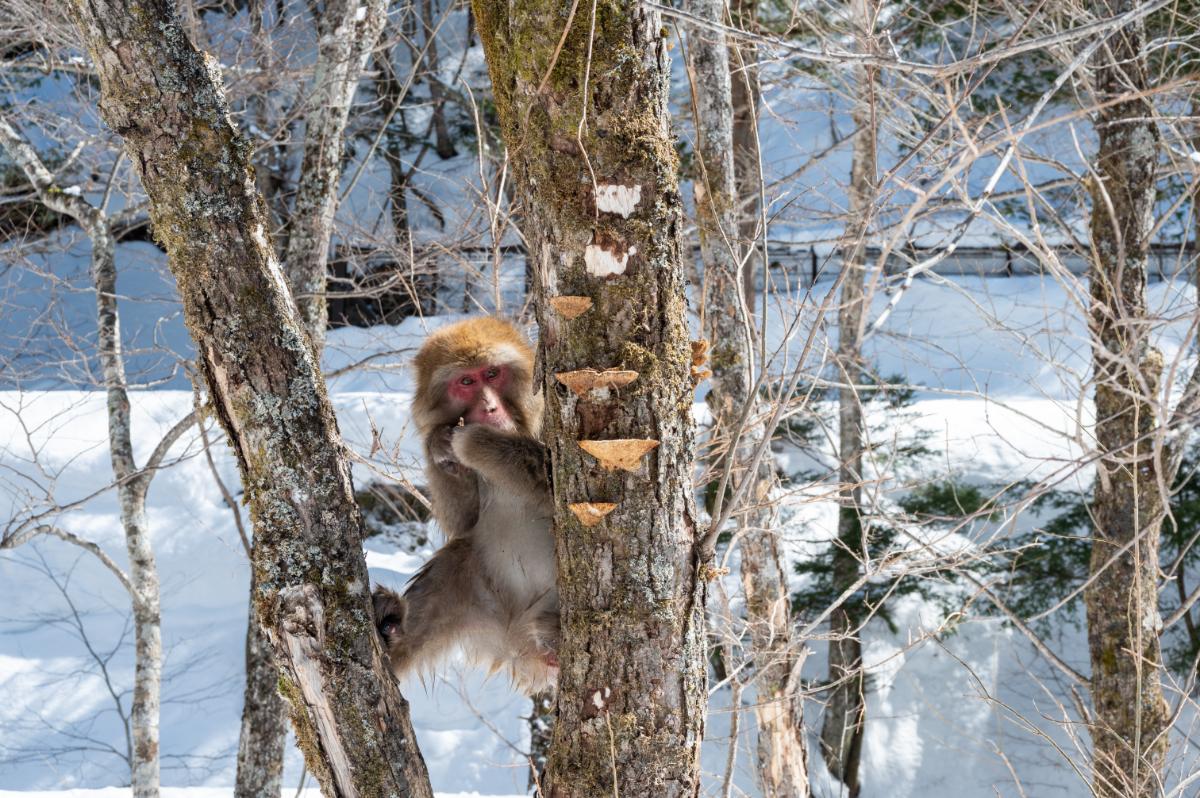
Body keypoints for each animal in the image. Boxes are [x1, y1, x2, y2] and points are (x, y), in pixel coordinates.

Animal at [372, 317, 558, 693]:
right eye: (467, 382)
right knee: (456, 560)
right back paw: (392, 631)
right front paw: (439, 446)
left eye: (493, 374)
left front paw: (477, 443)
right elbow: (464, 523)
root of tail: (518, 640)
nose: (489, 408)